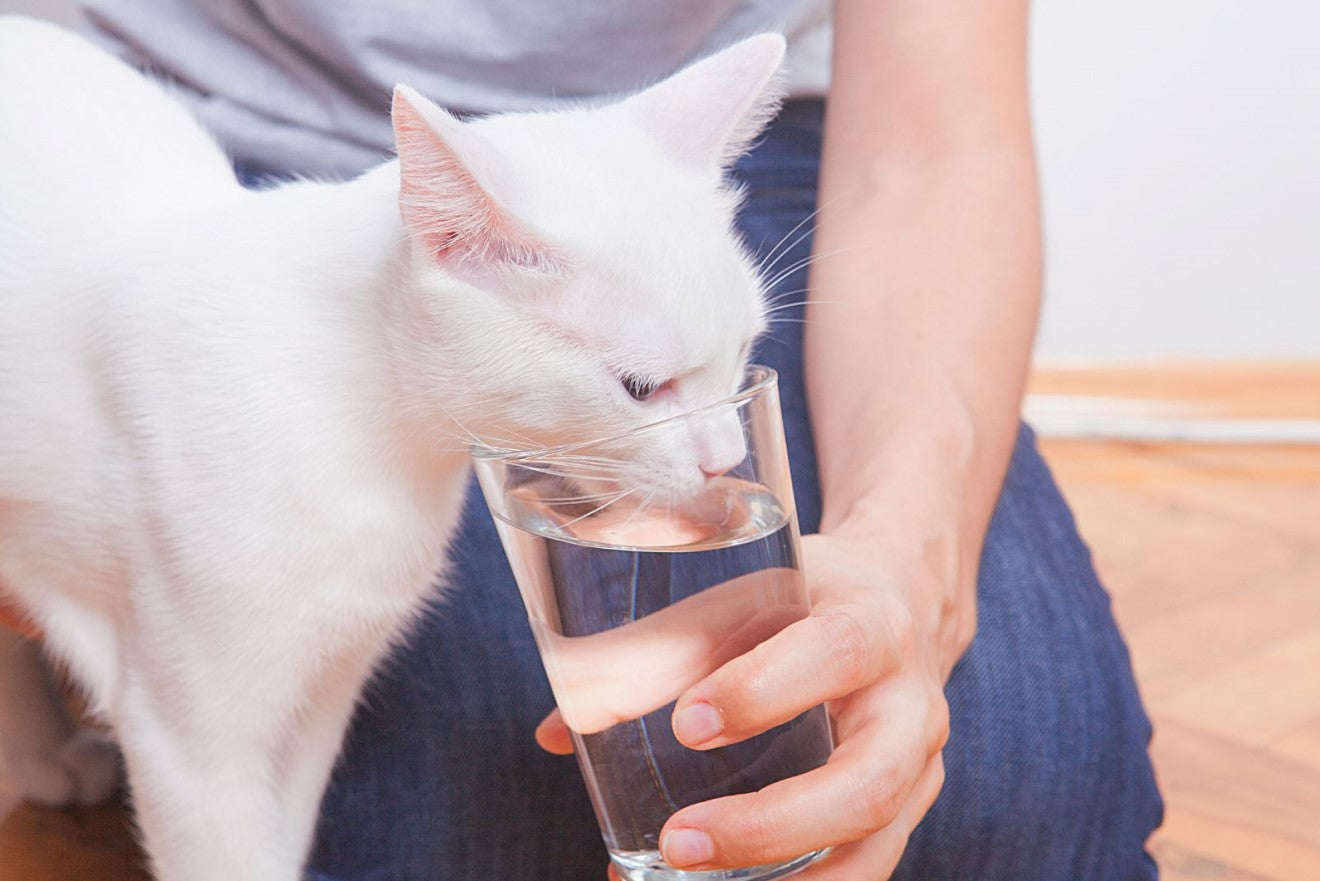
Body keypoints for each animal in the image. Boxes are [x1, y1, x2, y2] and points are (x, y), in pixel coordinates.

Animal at [0, 18, 781, 881]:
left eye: (742, 353)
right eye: (641, 388)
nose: (724, 458)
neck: (380, 444)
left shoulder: (326, 685)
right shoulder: (193, 741)